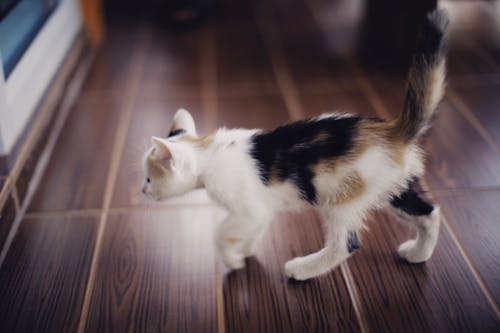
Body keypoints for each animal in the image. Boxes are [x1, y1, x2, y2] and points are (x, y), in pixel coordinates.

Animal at [143, 10, 448, 278]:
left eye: (148, 178)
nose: (142, 191)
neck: (209, 153)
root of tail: (393, 130)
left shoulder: (248, 207)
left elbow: (220, 232)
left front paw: (232, 259)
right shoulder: (261, 208)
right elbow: (255, 226)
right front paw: (245, 250)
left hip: (341, 198)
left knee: (346, 244)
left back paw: (302, 270)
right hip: (394, 188)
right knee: (430, 213)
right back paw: (419, 253)